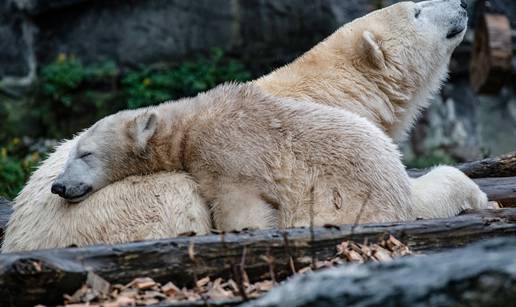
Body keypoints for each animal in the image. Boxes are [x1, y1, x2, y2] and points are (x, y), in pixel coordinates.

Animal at [2, 0, 486, 253]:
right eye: (418, 11)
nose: (463, 4)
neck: (337, 89)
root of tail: (16, 239)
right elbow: (412, 197)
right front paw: (473, 194)